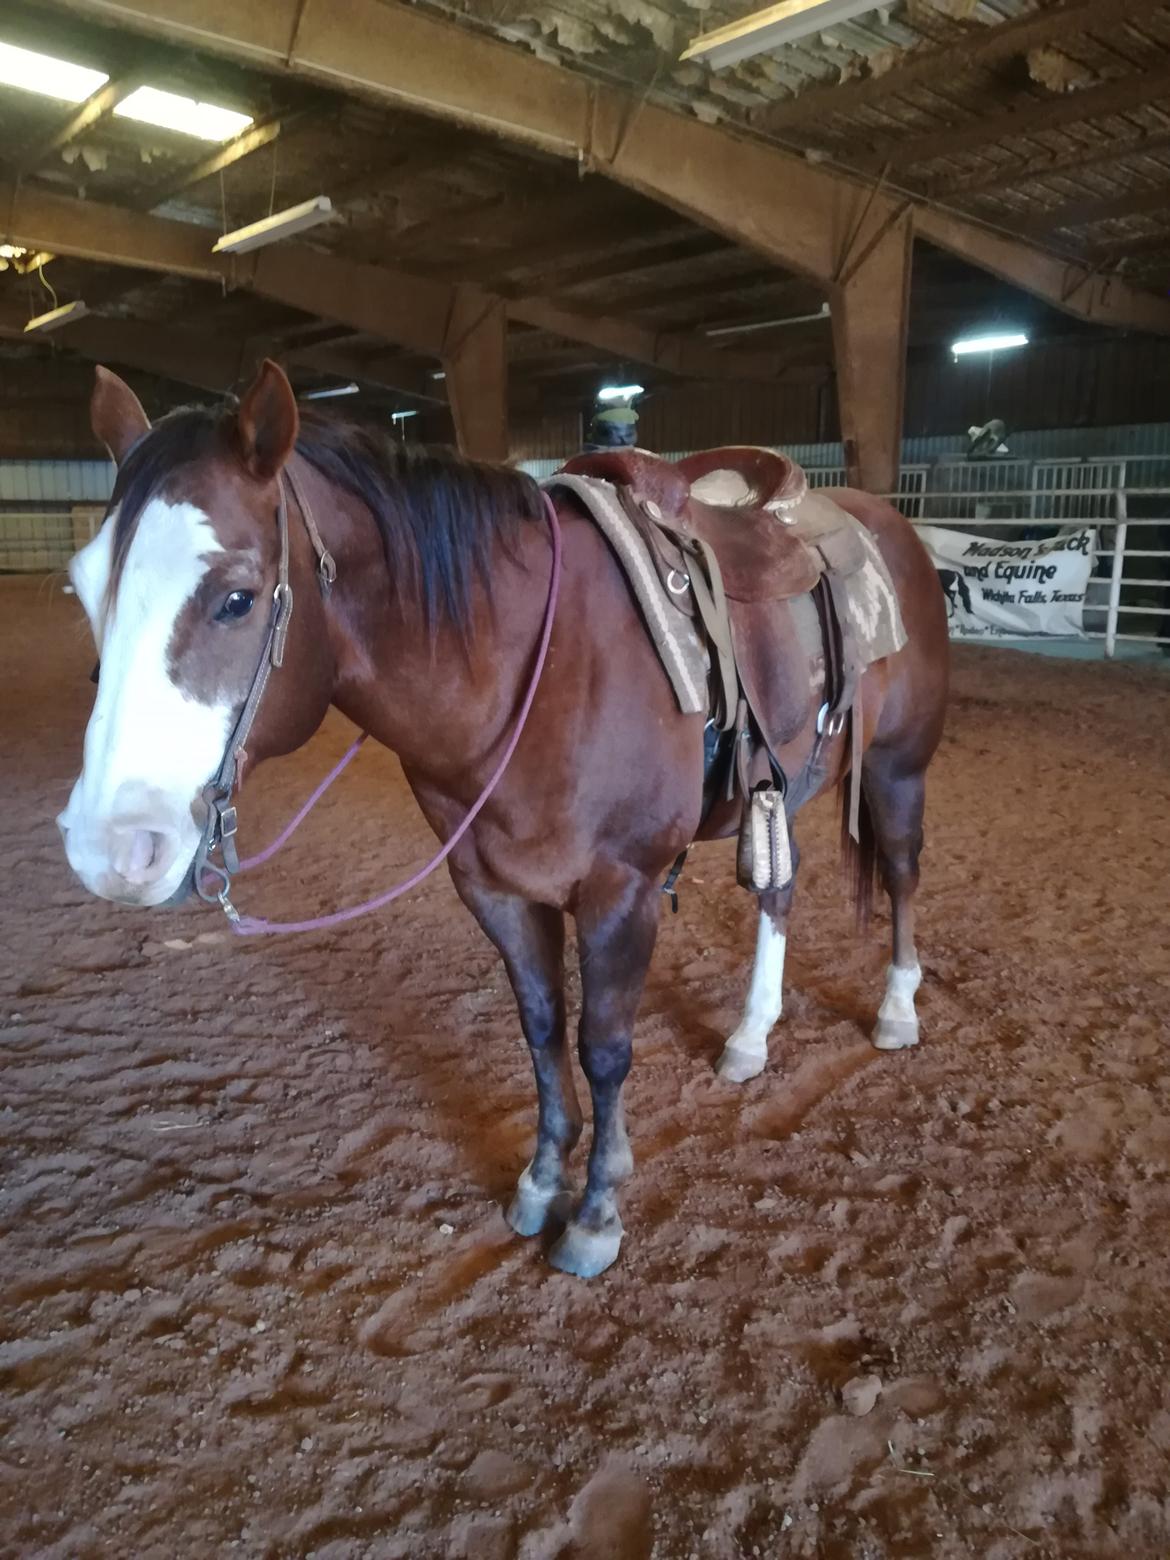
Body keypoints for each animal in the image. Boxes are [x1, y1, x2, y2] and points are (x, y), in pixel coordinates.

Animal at [59, 361, 948, 1279]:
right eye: (82, 587)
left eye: (236, 600)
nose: (109, 849)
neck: (539, 662)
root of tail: (889, 522)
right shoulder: (491, 886)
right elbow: (543, 1030)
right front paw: (541, 1181)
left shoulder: (621, 891)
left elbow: (603, 1046)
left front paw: (594, 1215)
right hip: (782, 786)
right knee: (779, 889)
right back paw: (749, 1038)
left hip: (896, 767)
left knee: (904, 874)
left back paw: (896, 1011)